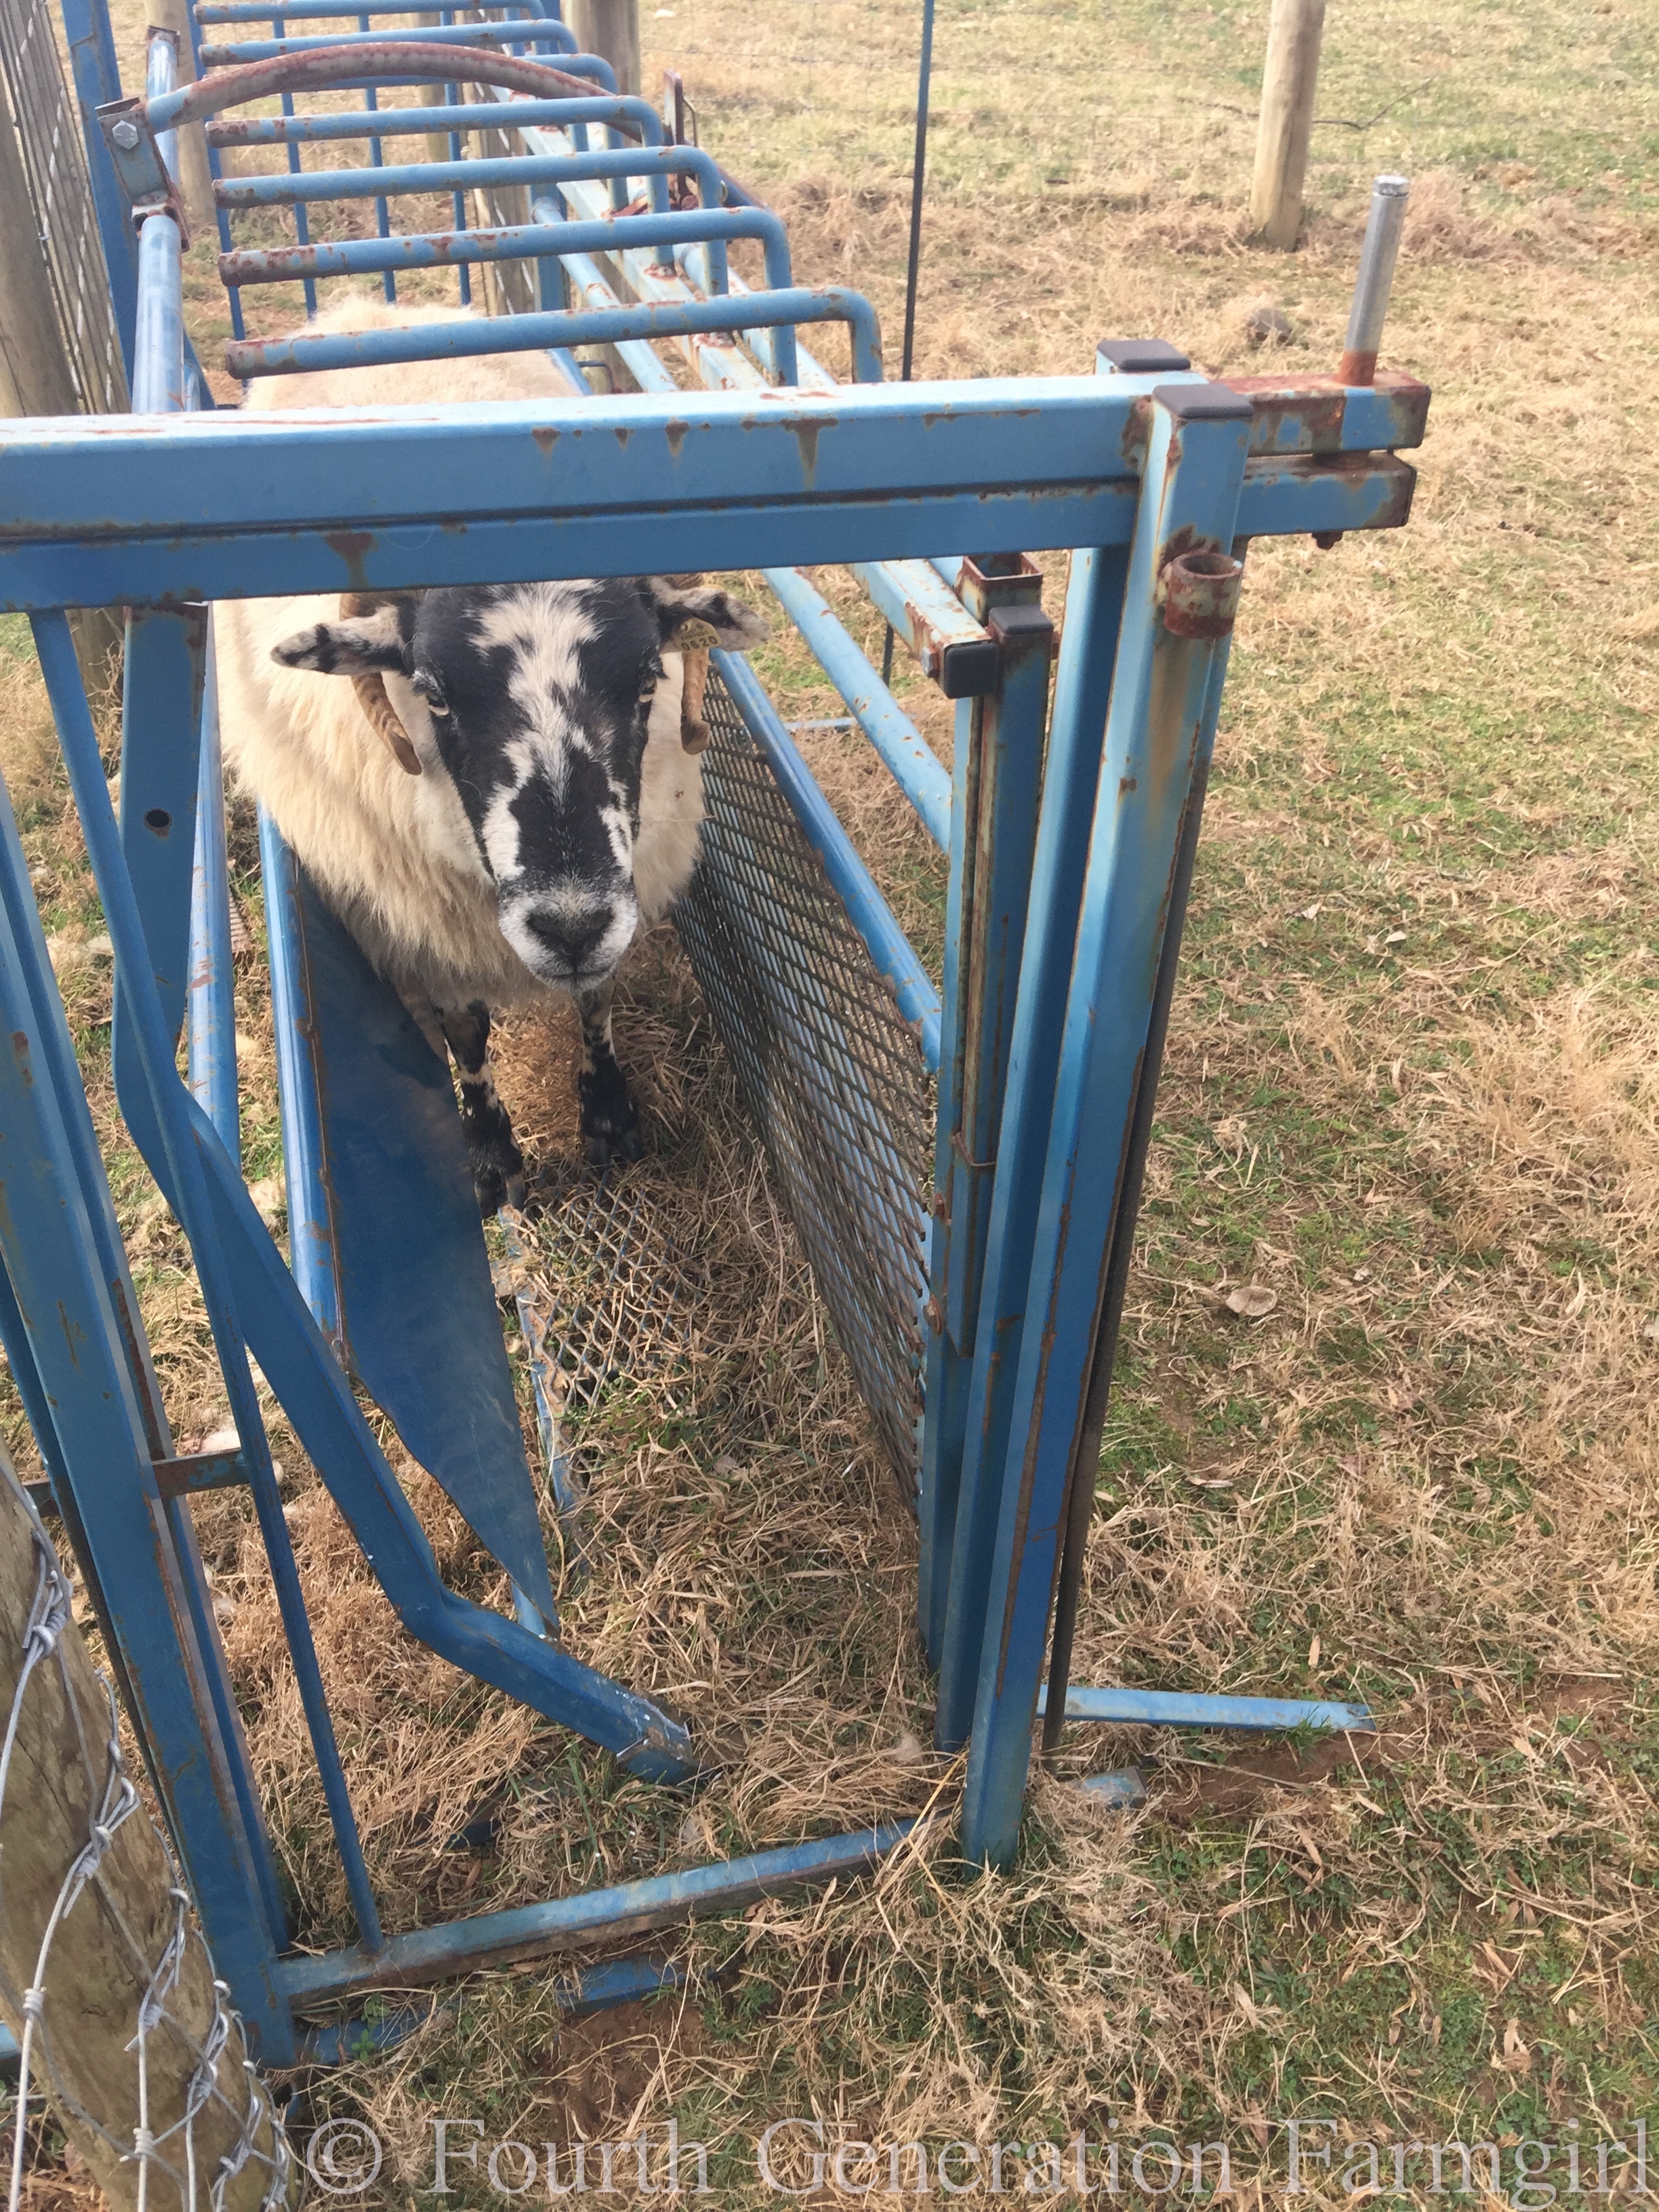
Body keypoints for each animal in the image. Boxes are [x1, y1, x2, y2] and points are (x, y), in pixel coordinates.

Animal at [215, 298, 767, 1208]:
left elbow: (598, 1000)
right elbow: (466, 1034)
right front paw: (490, 1156)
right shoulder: (421, 929)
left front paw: (610, 1118)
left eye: (648, 679)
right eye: (433, 693)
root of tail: (363, 309)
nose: (570, 925)